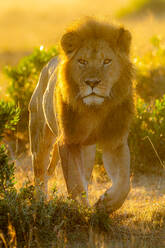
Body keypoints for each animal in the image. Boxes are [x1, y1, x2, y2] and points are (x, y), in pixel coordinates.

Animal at [28, 17, 134, 212]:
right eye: (82, 61)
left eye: (107, 61)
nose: (92, 82)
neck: (94, 110)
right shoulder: (69, 141)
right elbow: (75, 182)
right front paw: (83, 210)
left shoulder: (115, 140)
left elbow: (124, 182)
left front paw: (106, 203)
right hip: (40, 138)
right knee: (40, 174)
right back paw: (40, 204)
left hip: (87, 150)